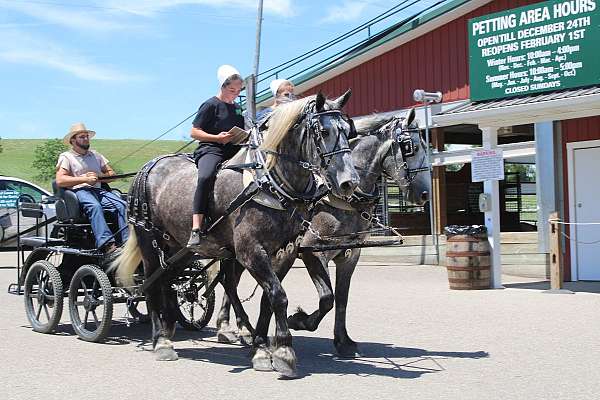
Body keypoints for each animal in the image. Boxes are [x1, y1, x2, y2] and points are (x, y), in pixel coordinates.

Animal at [115, 91, 358, 378]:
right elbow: (278, 296)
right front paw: (282, 352)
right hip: (149, 241)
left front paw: (265, 345)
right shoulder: (250, 250)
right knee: (153, 284)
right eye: (323, 131)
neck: (268, 183)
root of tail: (149, 167)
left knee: (172, 281)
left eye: (348, 130)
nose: (349, 182)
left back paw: (173, 325)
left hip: (179, 247)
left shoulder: (285, 250)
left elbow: (270, 298)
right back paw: (161, 341)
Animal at [218, 106, 428, 356]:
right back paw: (230, 327)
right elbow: (327, 298)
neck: (340, 198)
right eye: (410, 147)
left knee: (227, 281)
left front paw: (343, 341)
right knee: (227, 281)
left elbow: (342, 298)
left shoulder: (349, 255)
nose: (425, 194)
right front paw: (299, 320)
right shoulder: (313, 253)